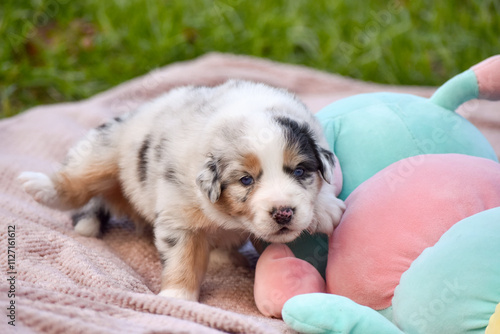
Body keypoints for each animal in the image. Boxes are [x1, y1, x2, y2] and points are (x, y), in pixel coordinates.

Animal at [20, 80, 348, 300]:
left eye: (300, 171)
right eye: (246, 180)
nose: (283, 213)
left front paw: (326, 208)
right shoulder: (179, 215)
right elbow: (183, 258)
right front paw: (177, 299)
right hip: (104, 149)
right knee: (77, 179)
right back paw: (39, 186)